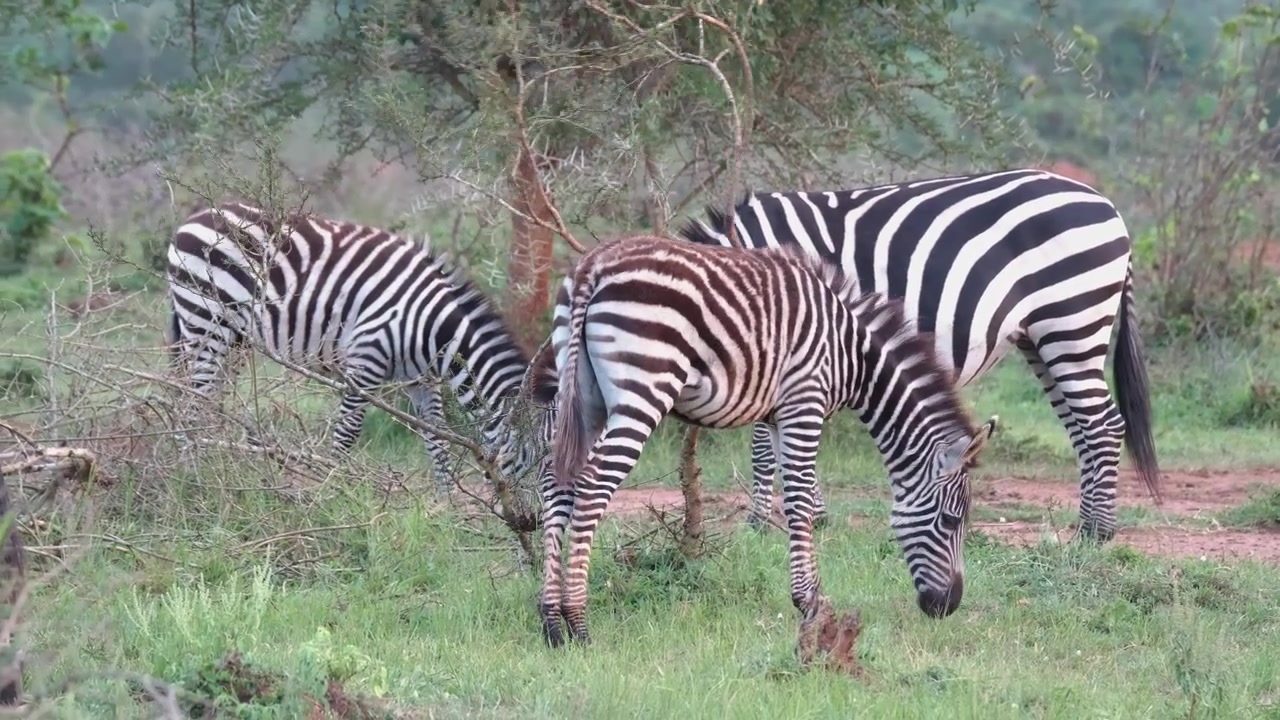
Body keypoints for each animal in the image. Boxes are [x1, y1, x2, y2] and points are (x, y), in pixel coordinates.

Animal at [165, 201, 540, 500]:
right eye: (533, 463)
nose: (532, 525)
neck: (433, 328)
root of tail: (194, 218)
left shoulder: (421, 378)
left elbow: (437, 437)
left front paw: (446, 505)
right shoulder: (367, 360)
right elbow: (347, 433)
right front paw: (332, 493)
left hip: (233, 338)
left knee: (207, 399)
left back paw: (221, 470)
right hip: (206, 322)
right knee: (189, 404)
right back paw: (195, 480)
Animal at [538, 234, 998, 647]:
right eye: (951, 521)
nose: (948, 606)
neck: (855, 355)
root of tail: (593, 265)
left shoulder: (780, 416)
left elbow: (796, 493)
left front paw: (810, 595)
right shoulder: (805, 401)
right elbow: (799, 500)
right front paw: (809, 602)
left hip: (582, 394)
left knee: (557, 484)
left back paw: (552, 623)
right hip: (643, 390)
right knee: (592, 487)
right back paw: (578, 623)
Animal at [679, 167, 1162, 542]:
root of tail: (1109, 208)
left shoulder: (788, 342)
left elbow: (767, 444)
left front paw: (760, 523)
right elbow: (782, 443)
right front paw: (813, 515)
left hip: (1071, 323)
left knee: (1103, 425)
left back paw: (1095, 534)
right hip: (1042, 338)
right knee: (1082, 428)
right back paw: (1087, 524)